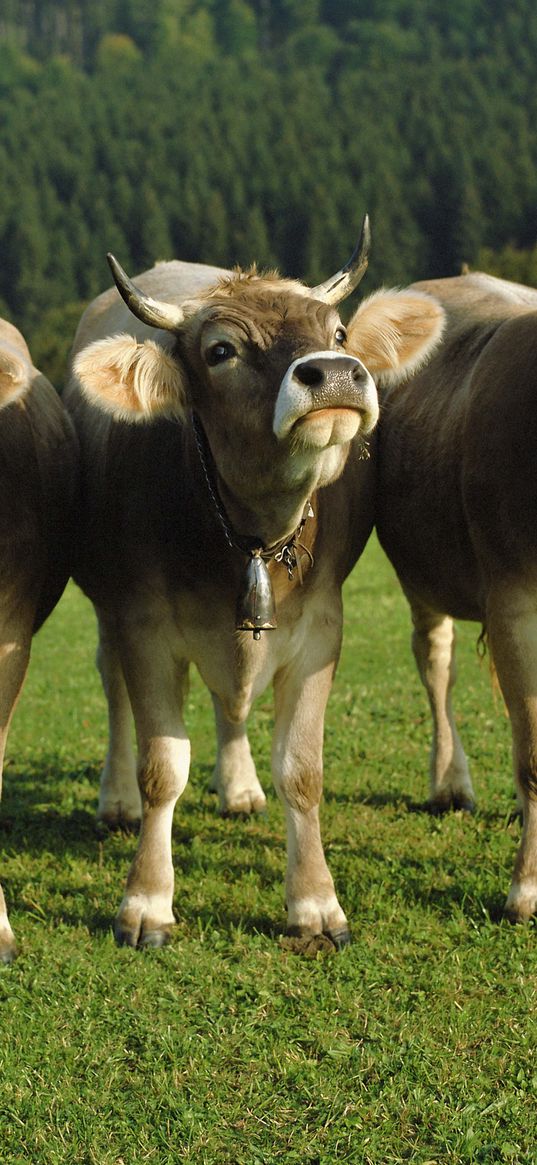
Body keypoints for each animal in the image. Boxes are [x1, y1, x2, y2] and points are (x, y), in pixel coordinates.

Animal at [64, 222, 442, 950]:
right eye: (221, 350)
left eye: (339, 331)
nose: (335, 374)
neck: (249, 534)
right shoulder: (143, 624)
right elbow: (162, 769)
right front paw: (146, 901)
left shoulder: (320, 627)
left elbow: (302, 771)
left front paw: (315, 903)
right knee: (111, 685)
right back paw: (115, 798)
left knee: (230, 702)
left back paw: (238, 787)